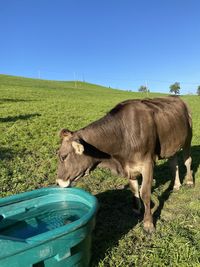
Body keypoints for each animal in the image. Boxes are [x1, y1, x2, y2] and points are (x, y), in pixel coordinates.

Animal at [57, 96, 193, 232]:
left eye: (63, 157)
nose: (58, 182)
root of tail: (176, 97)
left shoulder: (147, 164)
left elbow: (145, 193)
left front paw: (148, 224)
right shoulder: (129, 167)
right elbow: (134, 189)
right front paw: (136, 209)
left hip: (188, 139)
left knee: (187, 160)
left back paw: (190, 181)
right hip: (171, 145)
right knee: (174, 164)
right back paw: (176, 185)